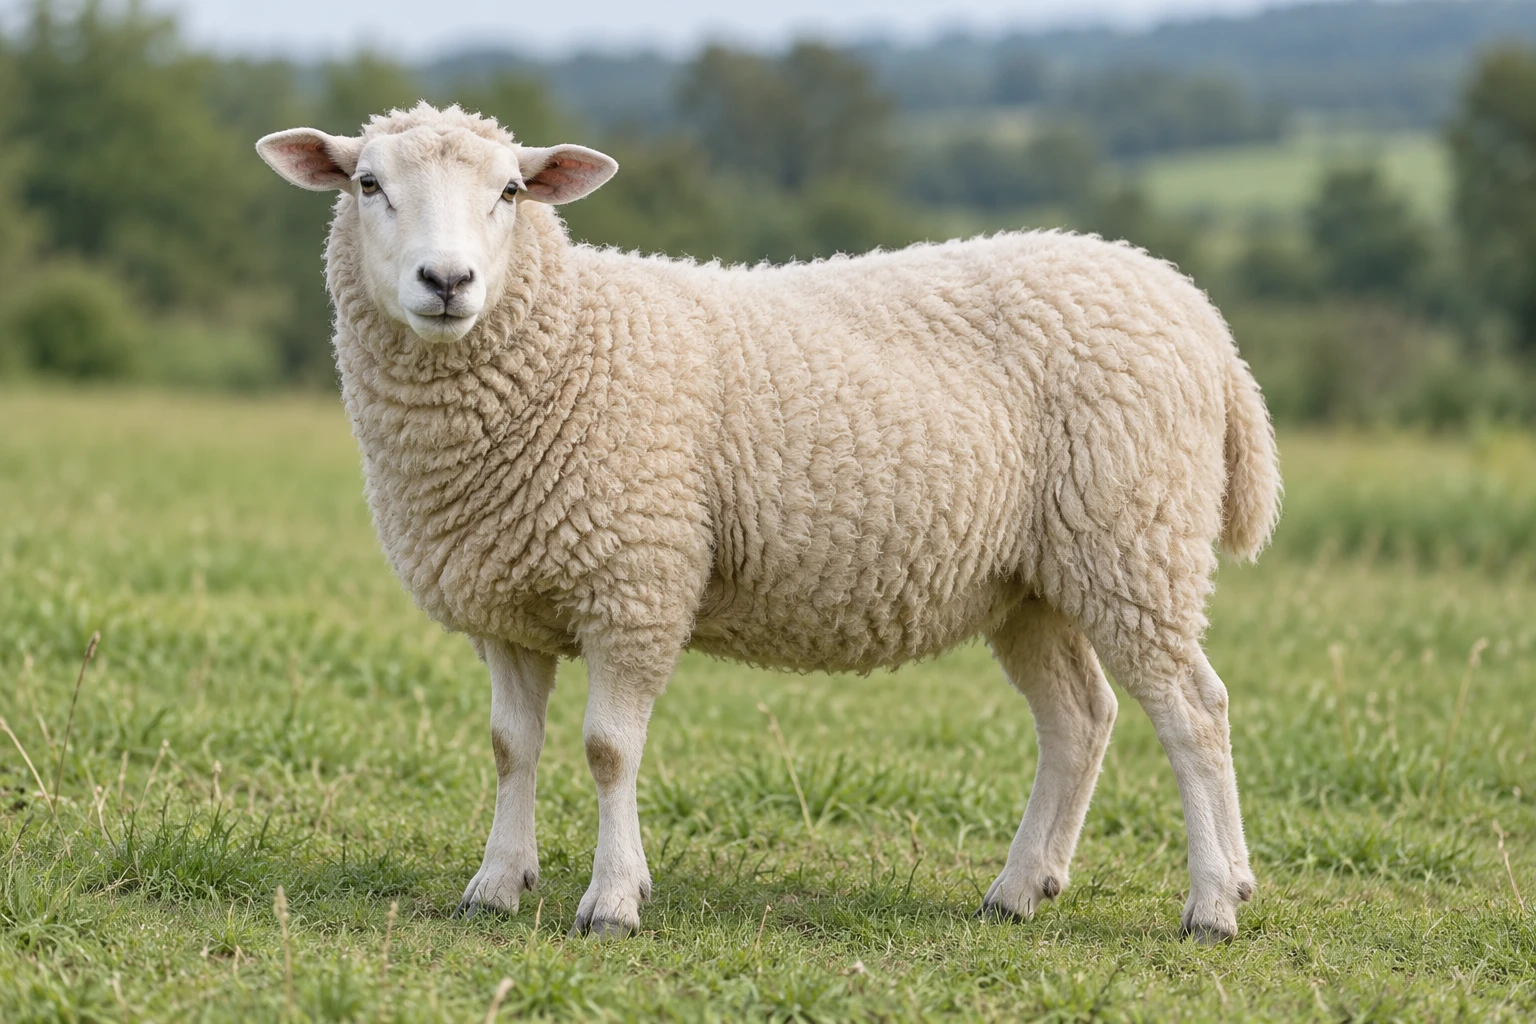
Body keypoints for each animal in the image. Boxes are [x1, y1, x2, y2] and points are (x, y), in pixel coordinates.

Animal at [256, 102, 1281, 943]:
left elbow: (607, 749)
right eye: (367, 184)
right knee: (1079, 718)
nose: (447, 280)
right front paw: (496, 886)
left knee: (1194, 711)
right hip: (1031, 580)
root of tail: (1199, 314)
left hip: (1133, 538)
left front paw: (612, 901)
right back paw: (1023, 890)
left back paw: (1213, 905)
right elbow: (513, 748)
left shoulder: (636, 580)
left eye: (510, 190)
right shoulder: (507, 599)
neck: (569, 339)